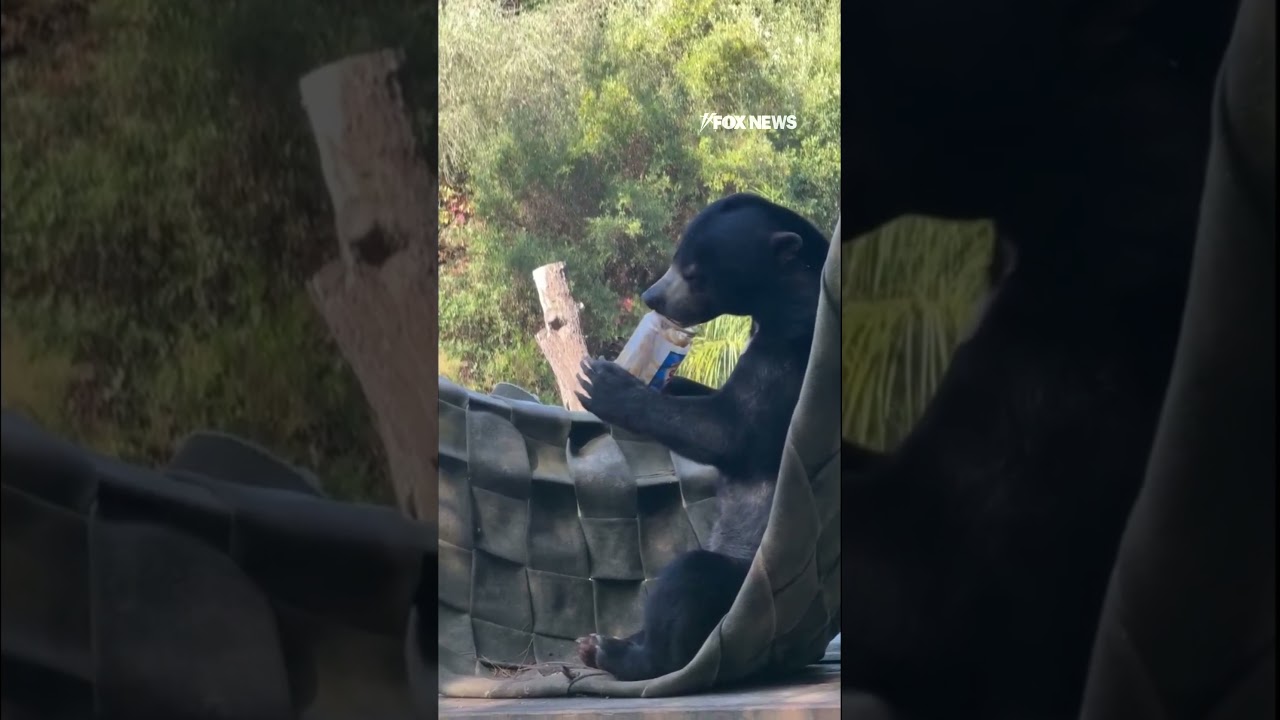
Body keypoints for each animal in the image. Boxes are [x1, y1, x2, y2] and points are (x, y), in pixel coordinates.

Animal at [573, 192, 830, 681]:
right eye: (676, 258)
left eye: (693, 271)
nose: (652, 296)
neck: (783, 303)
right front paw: (665, 380)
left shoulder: (794, 355)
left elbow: (732, 431)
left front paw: (605, 383)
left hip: (747, 574)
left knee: (687, 583)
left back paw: (619, 653)